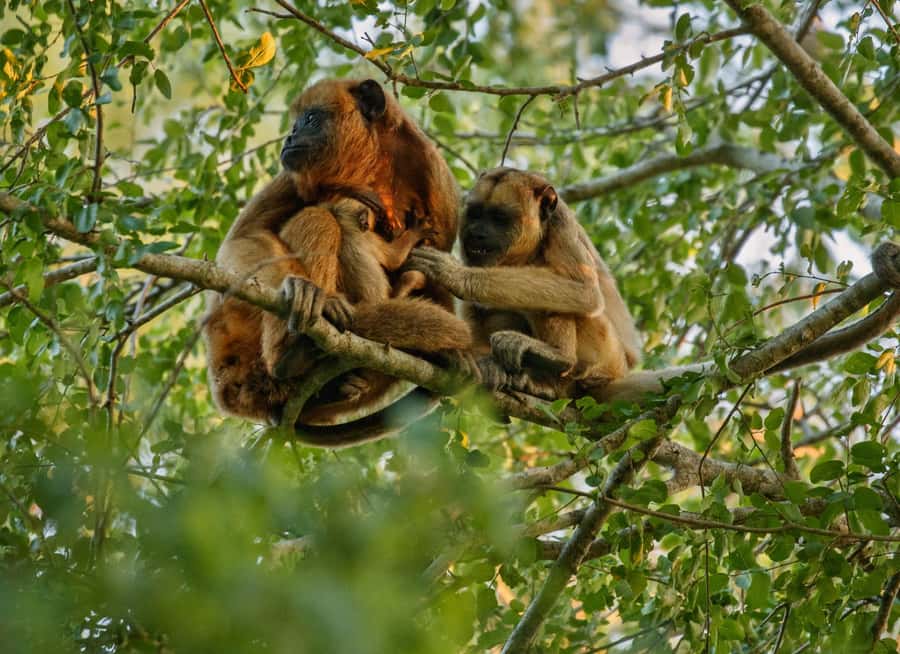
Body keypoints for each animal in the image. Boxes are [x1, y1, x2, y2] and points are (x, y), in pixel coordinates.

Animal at [204, 78, 472, 441]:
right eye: (295, 122)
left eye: (311, 119)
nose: (290, 136)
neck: (373, 163)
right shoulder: (293, 174)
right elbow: (244, 237)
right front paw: (300, 289)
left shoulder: (438, 184)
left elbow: (436, 279)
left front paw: (450, 353)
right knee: (318, 218)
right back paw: (294, 347)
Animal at [406, 167, 641, 398]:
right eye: (475, 214)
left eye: (499, 218)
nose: (476, 233)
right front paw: (471, 359)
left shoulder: (561, 224)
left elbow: (585, 291)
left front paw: (456, 275)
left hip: (605, 354)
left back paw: (558, 357)